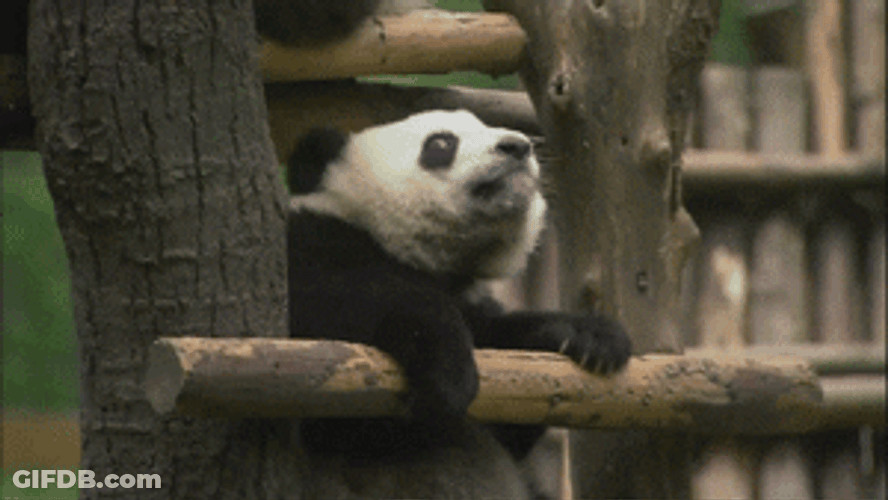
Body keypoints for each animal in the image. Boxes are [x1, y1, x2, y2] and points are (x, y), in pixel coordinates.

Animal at [287, 109, 632, 499]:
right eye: (440, 143)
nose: (517, 146)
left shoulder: (470, 300)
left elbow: (508, 373)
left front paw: (591, 337)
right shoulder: (314, 242)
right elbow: (324, 309)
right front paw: (448, 374)